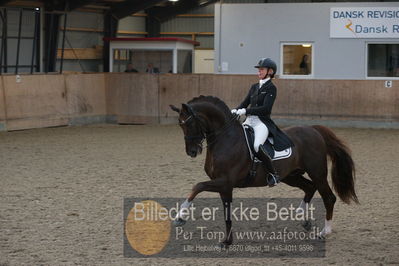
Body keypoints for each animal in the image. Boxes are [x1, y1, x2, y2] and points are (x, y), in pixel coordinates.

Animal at [169, 95, 360, 245]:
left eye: (189, 123)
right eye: (180, 125)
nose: (192, 152)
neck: (226, 139)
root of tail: (313, 130)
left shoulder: (225, 181)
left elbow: (197, 186)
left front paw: (180, 217)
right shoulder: (225, 186)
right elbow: (226, 213)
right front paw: (227, 241)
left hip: (317, 173)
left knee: (328, 197)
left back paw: (324, 232)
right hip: (290, 176)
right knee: (309, 187)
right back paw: (303, 218)